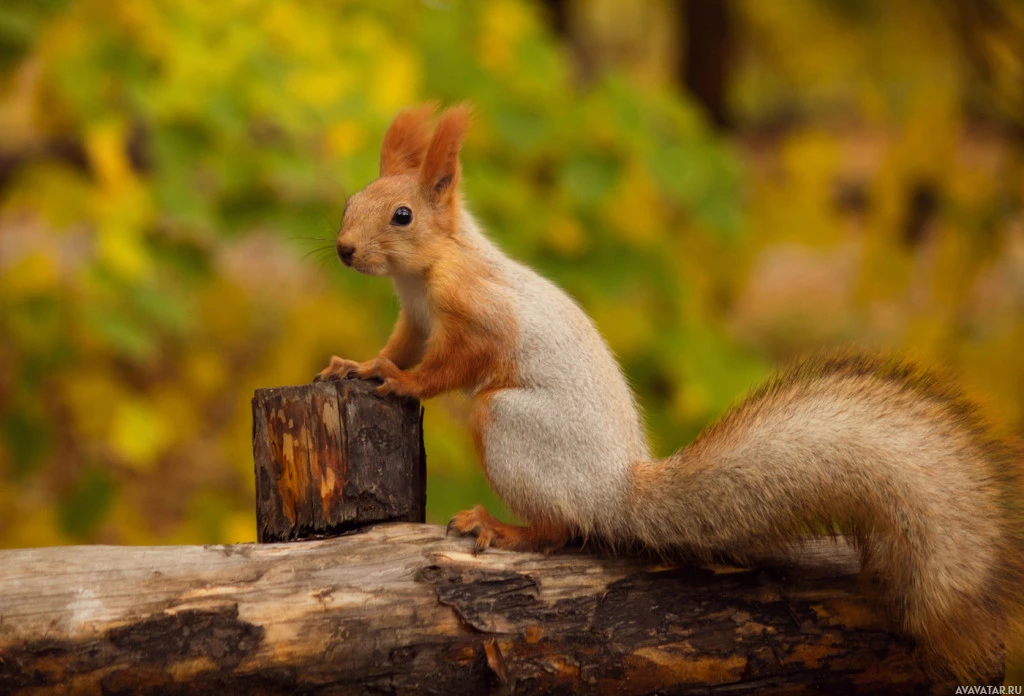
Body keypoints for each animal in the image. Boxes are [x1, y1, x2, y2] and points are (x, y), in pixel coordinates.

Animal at [317, 103, 1024, 679]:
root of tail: (617, 491)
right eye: (350, 200)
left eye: (403, 216)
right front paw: (358, 366)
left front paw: (399, 382)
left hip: (510, 424)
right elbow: (398, 345)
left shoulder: (479, 317)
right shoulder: (414, 318)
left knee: (562, 529)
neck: (429, 268)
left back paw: (501, 526)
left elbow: (452, 364)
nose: (345, 249)